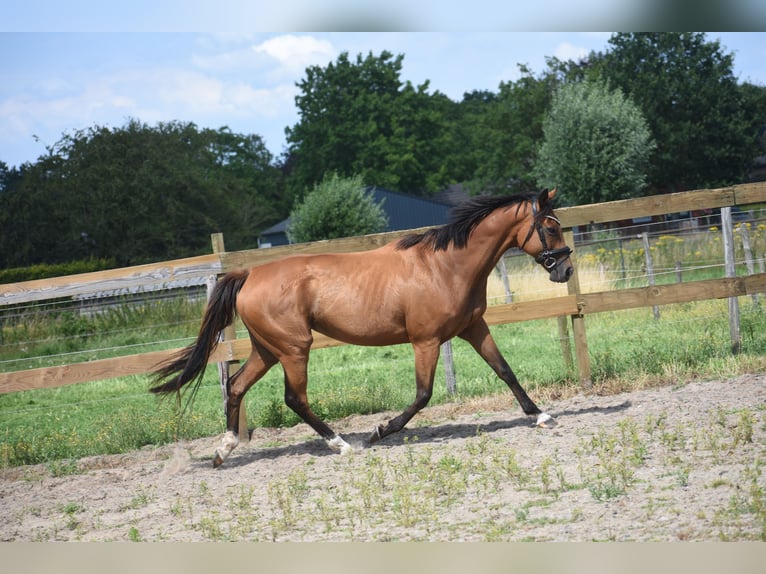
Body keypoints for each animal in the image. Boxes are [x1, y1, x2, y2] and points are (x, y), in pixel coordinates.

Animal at [151, 188, 574, 468]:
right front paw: (380, 431)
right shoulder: (426, 341)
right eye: (551, 228)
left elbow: (505, 371)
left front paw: (541, 416)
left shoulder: (473, 328)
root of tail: (249, 274)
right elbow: (423, 394)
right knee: (294, 398)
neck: (447, 266)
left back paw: (224, 450)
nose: (566, 270)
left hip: (268, 349)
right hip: (294, 349)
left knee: (237, 385)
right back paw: (341, 444)